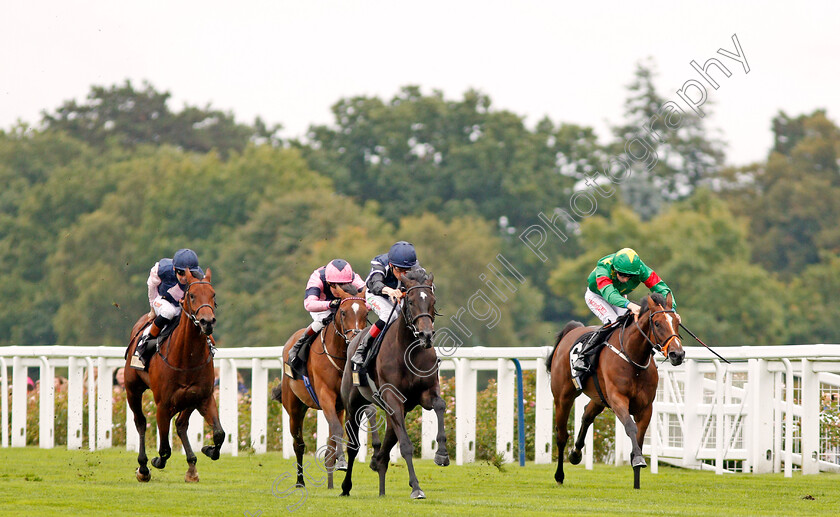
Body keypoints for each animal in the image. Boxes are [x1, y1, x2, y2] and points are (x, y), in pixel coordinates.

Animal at [123, 268, 225, 482]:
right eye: (192, 295)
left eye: (213, 295)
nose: (207, 322)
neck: (187, 357)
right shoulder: (163, 404)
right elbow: (164, 449)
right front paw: (154, 462)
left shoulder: (204, 397)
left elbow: (219, 433)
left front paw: (209, 449)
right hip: (132, 389)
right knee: (141, 422)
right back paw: (143, 467)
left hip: (189, 399)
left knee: (181, 424)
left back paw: (192, 467)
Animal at [274, 284, 370, 490]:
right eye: (343, 312)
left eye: (366, 313)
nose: (355, 339)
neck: (340, 357)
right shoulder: (325, 396)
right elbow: (338, 431)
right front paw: (342, 463)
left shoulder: (346, 404)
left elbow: (339, 436)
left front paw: (341, 463)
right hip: (294, 408)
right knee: (299, 444)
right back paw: (300, 481)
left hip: (336, 408)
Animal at [338, 268, 450, 498]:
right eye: (411, 301)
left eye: (432, 301)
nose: (426, 335)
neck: (409, 352)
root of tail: (353, 340)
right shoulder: (393, 398)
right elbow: (406, 445)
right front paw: (416, 488)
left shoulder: (426, 393)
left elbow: (440, 405)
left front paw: (442, 454)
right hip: (354, 405)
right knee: (353, 446)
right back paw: (346, 487)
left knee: (387, 444)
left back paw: (379, 474)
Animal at [548, 292, 684, 490]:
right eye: (658, 323)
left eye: (676, 321)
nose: (678, 354)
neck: (633, 359)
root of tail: (572, 331)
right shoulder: (618, 399)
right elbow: (630, 427)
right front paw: (638, 461)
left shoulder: (646, 407)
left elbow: (640, 437)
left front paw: (637, 478)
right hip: (563, 396)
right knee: (561, 435)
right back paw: (559, 475)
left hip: (599, 398)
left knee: (587, 415)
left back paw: (575, 454)